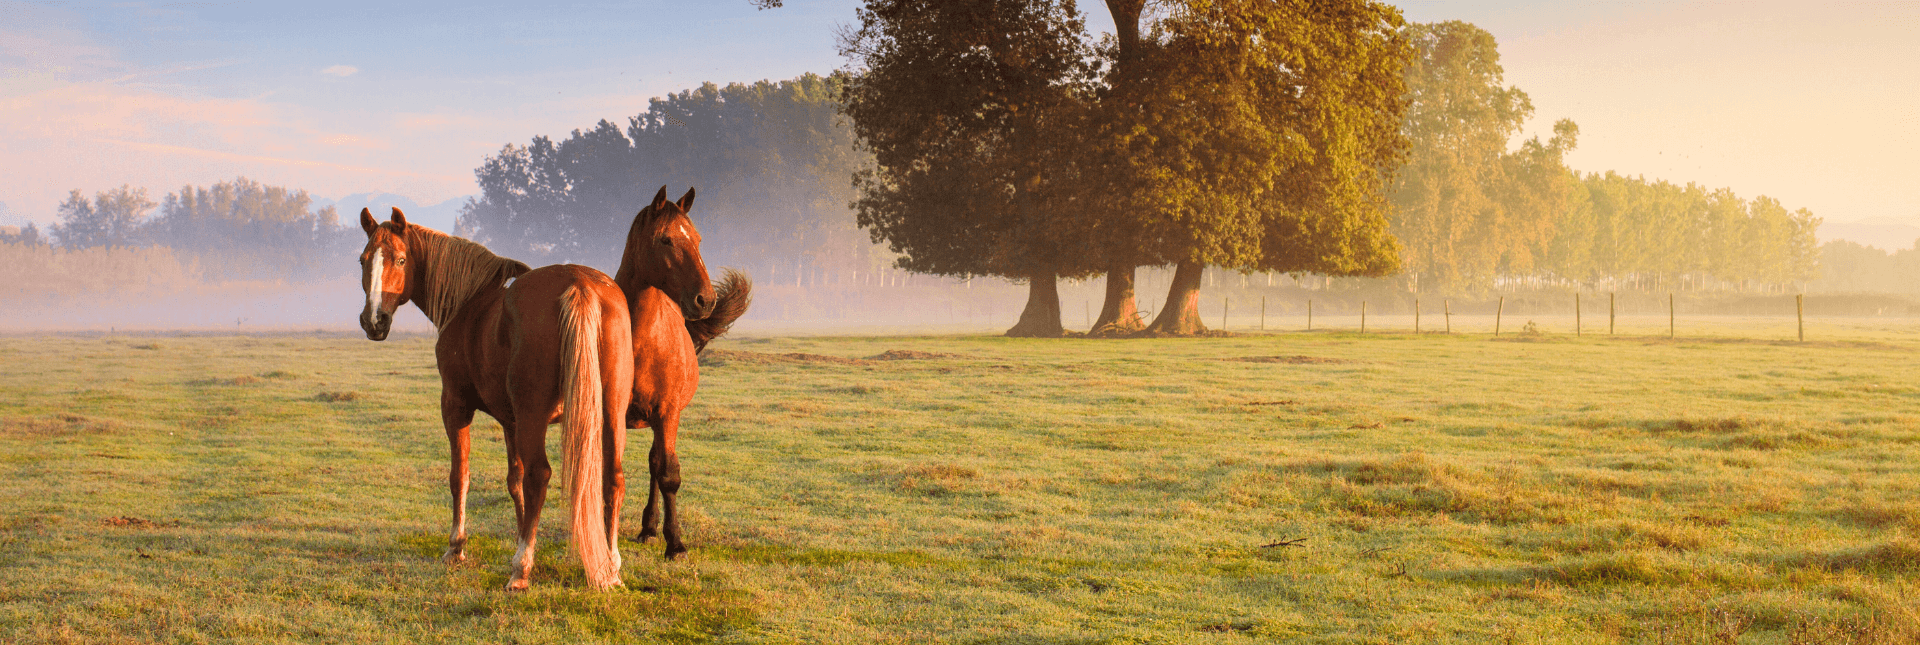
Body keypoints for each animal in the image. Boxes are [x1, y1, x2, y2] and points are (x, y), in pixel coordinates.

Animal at [357, 206, 633, 591]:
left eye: (399, 259)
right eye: (363, 260)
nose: (374, 321)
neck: (469, 302)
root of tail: (579, 284)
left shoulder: (455, 406)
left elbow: (460, 476)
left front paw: (456, 547)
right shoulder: (510, 420)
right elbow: (514, 481)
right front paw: (520, 535)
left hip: (534, 417)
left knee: (540, 476)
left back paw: (521, 569)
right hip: (611, 413)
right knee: (613, 479)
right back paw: (610, 567)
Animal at [614, 186, 748, 560]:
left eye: (698, 239)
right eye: (666, 239)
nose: (706, 300)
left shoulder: (667, 412)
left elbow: (669, 474)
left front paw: (675, 543)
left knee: (656, 464)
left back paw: (650, 528)